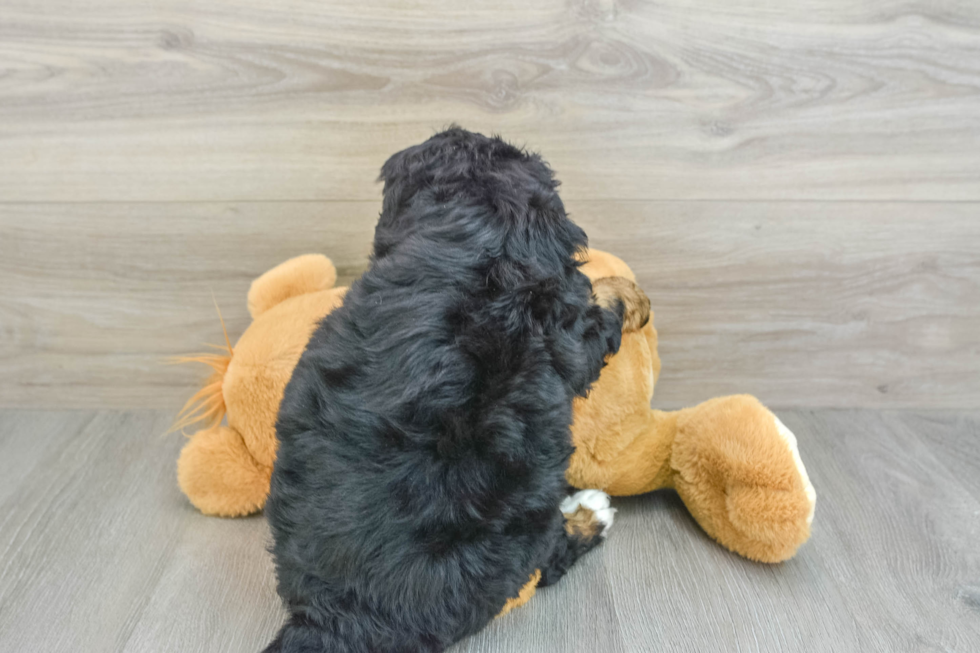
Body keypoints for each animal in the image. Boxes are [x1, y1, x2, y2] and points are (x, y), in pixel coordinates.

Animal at [266, 129, 652, 652]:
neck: (481, 241)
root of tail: (339, 617)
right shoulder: (569, 329)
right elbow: (597, 307)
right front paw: (628, 294)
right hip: (517, 529)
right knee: (544, 562)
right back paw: (589, 515)